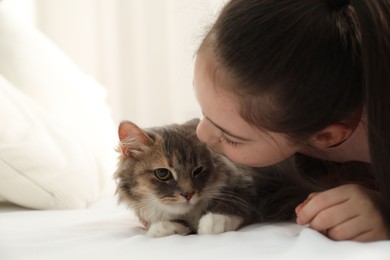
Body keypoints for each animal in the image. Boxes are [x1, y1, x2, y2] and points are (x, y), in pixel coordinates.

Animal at [112, 119, 326, 237]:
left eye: (198, 170)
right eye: (162, 174)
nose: (188, 194)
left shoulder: (250, 186)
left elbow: (230, 206)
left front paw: (211, 223)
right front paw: (163, 228)